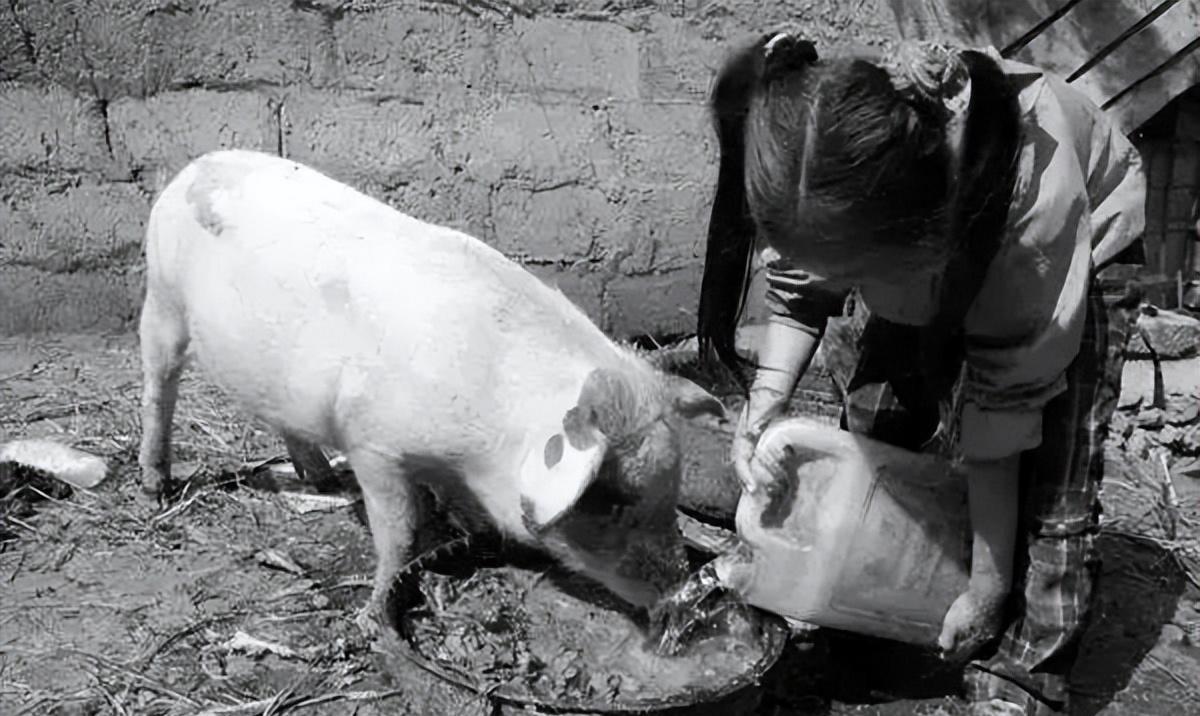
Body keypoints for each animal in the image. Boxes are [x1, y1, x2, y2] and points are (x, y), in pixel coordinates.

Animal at [137, 148, 724, 633]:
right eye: (611, 500)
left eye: (673, 487)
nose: (685, 592)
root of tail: (193, 167)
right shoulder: (373, 443)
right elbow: (399, 532)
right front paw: (373, 617)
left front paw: (469, 532)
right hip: (161, 302)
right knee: (159, 388)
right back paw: (155, 487)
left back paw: (321, 479)